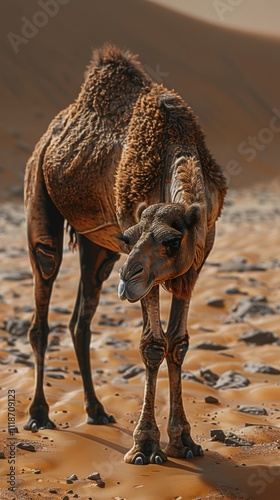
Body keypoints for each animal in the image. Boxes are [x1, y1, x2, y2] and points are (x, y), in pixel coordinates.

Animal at [23, 44, 225, 464]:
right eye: (130, 237)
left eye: (171, 241)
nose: (128, 280)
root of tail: (51, 133)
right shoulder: (147, 262)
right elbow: (153, 344)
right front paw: (145, 445)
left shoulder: (194, 262)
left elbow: (178, 344)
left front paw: (184, 440)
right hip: (40, 192)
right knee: (43, 286)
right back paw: (38, 414)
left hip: (98, 248)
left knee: (81, 321)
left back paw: (96, 410)